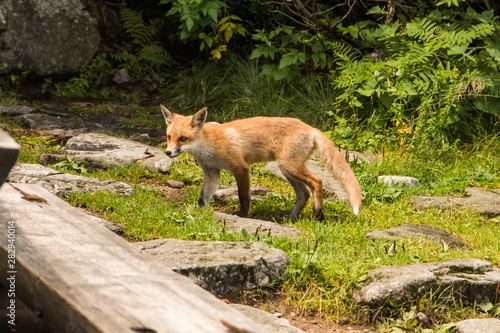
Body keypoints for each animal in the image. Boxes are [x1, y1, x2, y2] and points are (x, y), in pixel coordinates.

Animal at [162, 105, 362, 220]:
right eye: (169, 137)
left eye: (183, 138)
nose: (168, 152)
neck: (209, 145)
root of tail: (311, 128)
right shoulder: (212, 172)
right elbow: (203, 197)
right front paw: (200, 213)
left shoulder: (240, 168)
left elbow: (244, 196)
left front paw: (243, 215)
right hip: (286, 169)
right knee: (304, 193)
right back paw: (291, 217)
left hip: (290, 166)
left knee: (317, 181)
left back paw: (319, 215)